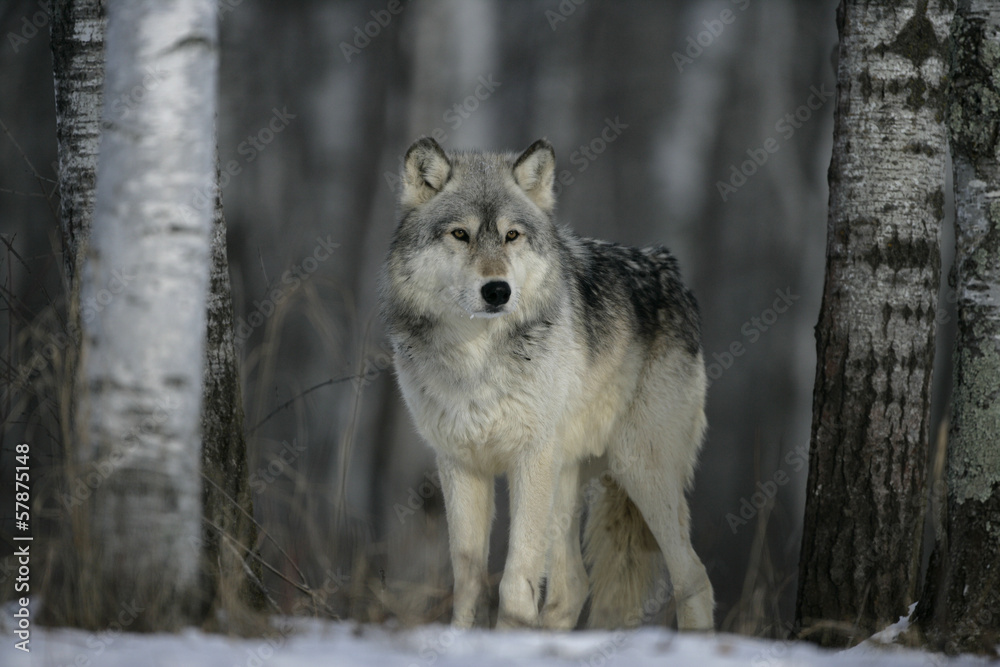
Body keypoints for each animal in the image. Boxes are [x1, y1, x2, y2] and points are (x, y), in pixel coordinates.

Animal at [379, 137, 714, 631]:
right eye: (459, 234)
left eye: (512, 236)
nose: (497, 291)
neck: (477, 357)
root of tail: (670, 269)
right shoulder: (460, 464)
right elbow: (468, 579)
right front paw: (463, 637)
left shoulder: (529, 458)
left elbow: (514, 579)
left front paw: (508, 635)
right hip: (567, 476)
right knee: (573, 585)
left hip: (638, 468)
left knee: (694, 576)